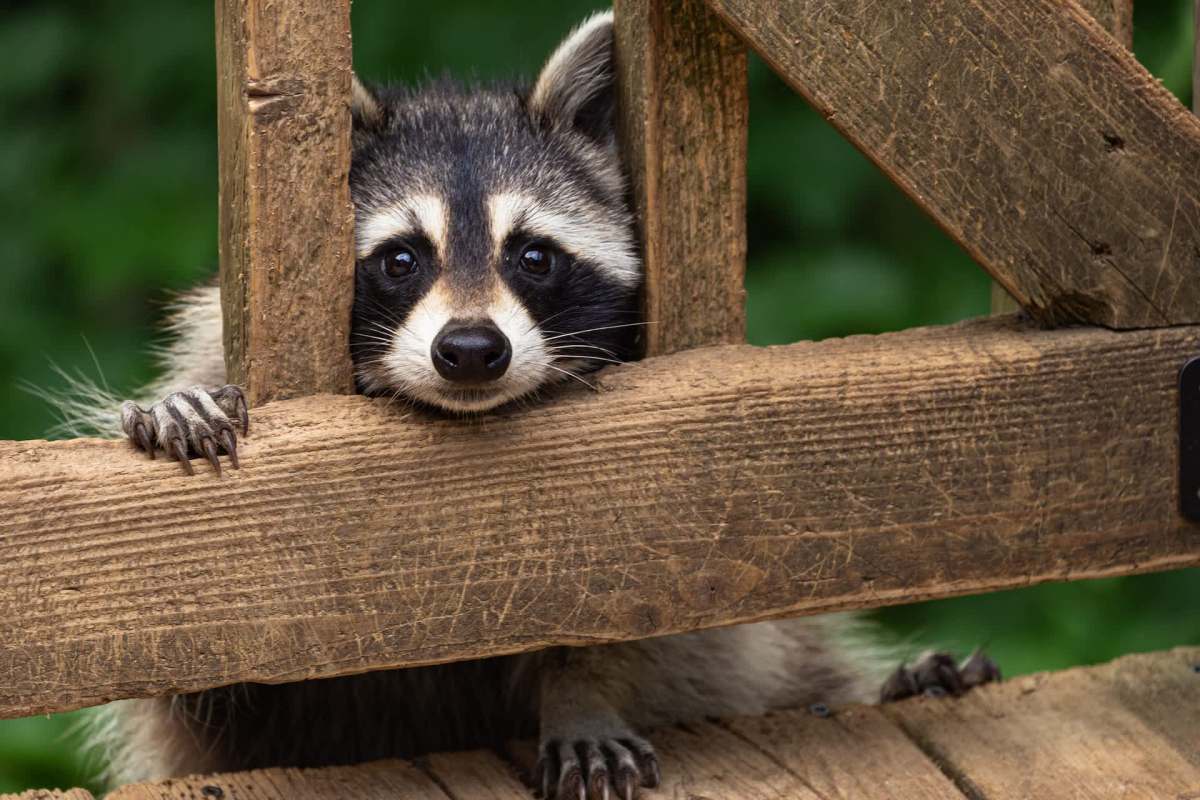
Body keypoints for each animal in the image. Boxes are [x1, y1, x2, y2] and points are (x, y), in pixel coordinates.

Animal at [87, 12, 998, 799]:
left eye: (532, 256)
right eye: (400, 260)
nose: (469, 351)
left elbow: (655, 615)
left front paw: (581, 692)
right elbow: (222, 664)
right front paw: (181, 407)